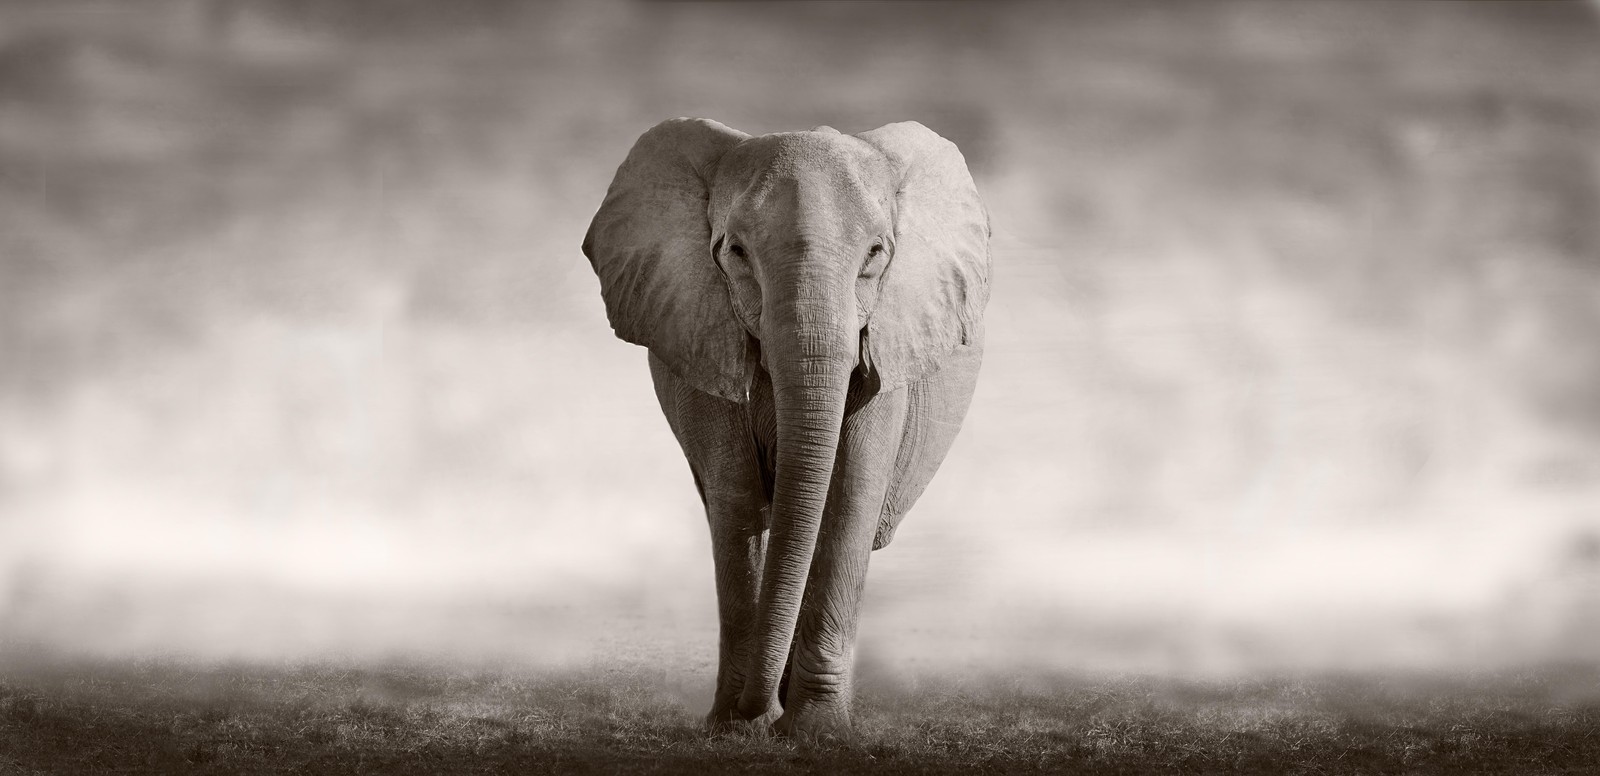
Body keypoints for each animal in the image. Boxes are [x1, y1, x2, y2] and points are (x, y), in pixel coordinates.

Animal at [582, 118, 989, 739]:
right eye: (736, 252)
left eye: (876, 253)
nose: (759, 712)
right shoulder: (702, 335)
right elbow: (736, 498)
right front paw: (737, 727)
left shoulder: (887, 343)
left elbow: (849, 496)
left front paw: (816, 732)